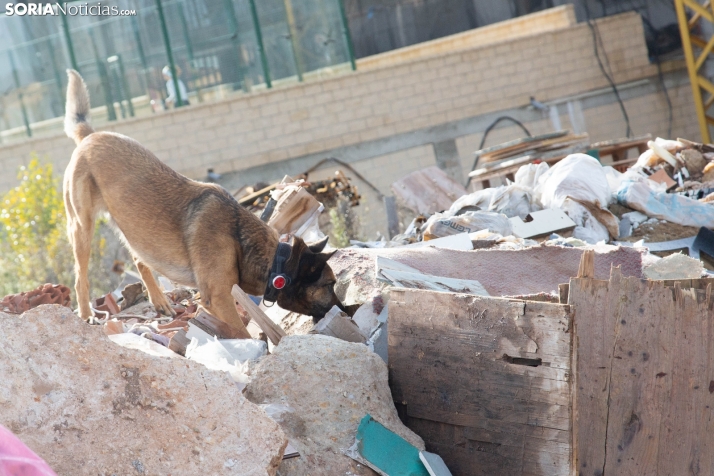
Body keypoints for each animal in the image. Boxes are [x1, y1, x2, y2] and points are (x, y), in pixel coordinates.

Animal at [62, 70, 340, 338]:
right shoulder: (218, 298)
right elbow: (242, 333)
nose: (345, 310)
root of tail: (91, 136)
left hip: (134, 230)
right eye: (329, 285)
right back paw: (86, 313)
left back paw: (159, 300)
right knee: (80, 277)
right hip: (82, 228)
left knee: (140, 260)